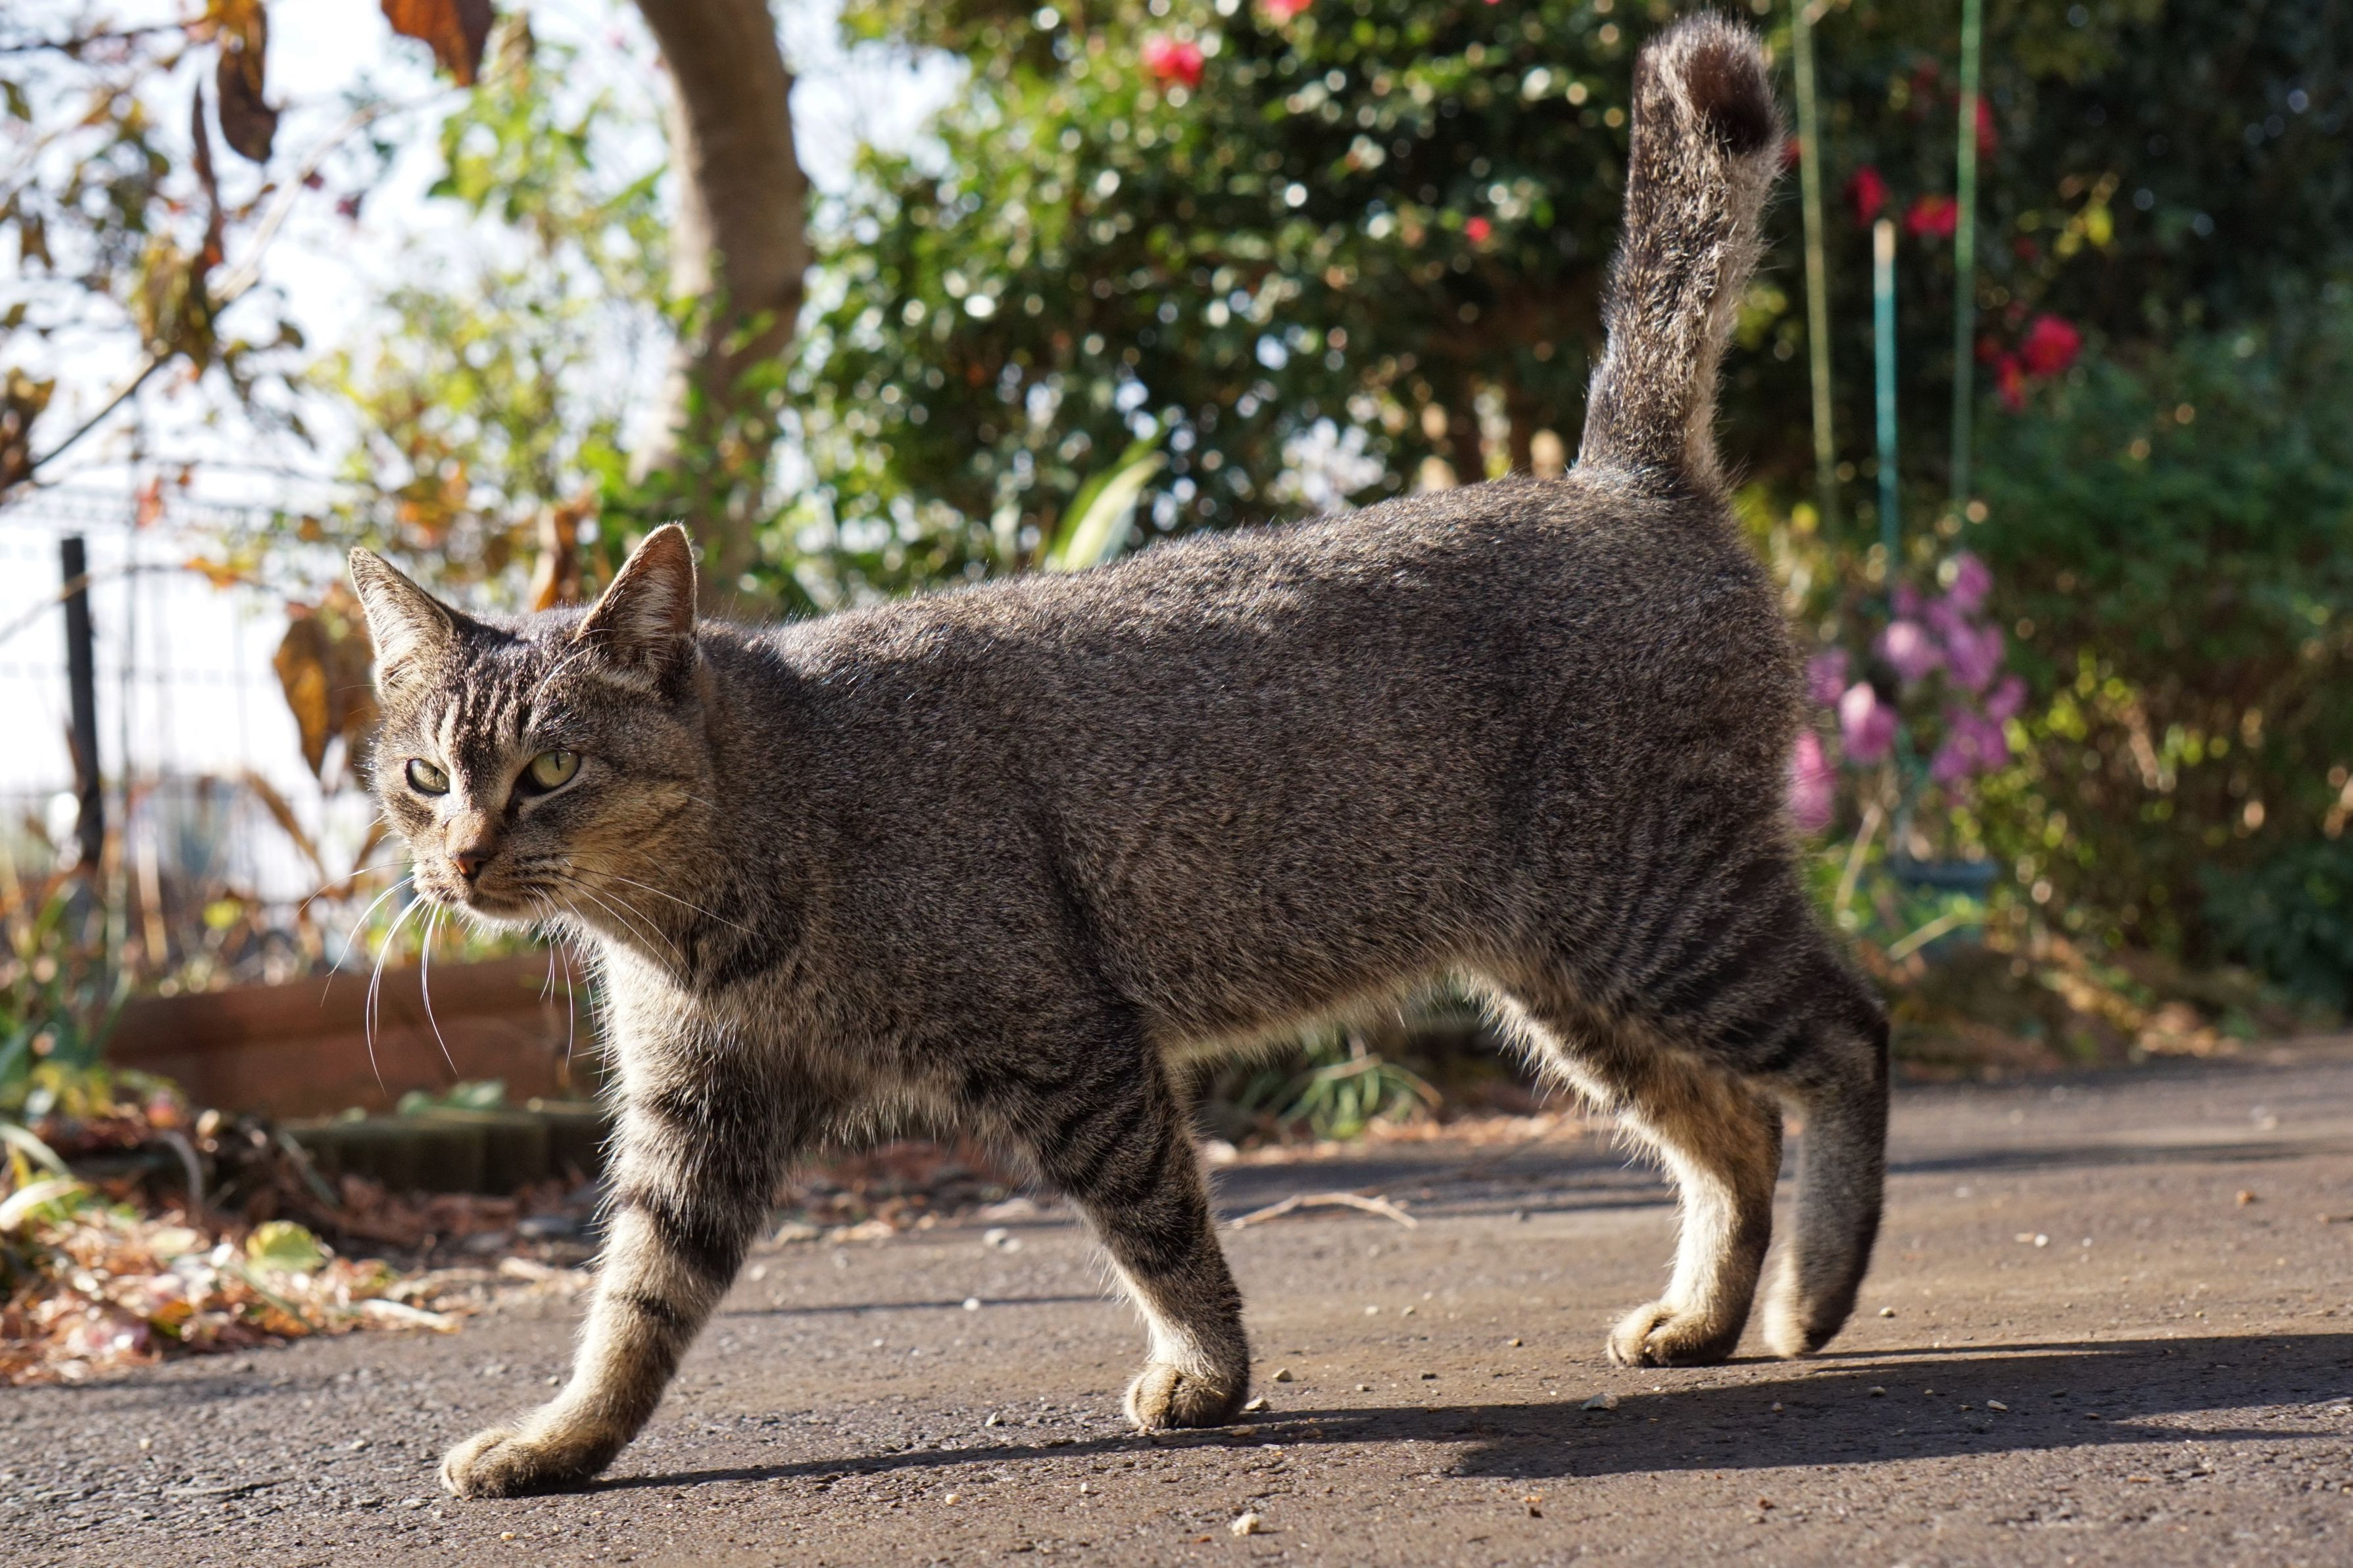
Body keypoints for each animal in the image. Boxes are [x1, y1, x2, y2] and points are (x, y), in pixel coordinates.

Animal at [349, 15, 1886, 1500]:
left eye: (548, 770)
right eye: (425, 777)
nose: (462, 857)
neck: (724, 890)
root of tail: (1621, 475)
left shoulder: (1066, 1038)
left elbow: (1155, 1220)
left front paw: (1205, 1372)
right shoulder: (696, 1118)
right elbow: (633, 1306)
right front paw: (558, 1441)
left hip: (1657, 915)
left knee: (1845, 1038)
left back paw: (1813, 1289)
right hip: (1569, 978)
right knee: (1730, 1127)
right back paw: (1702, 1314)